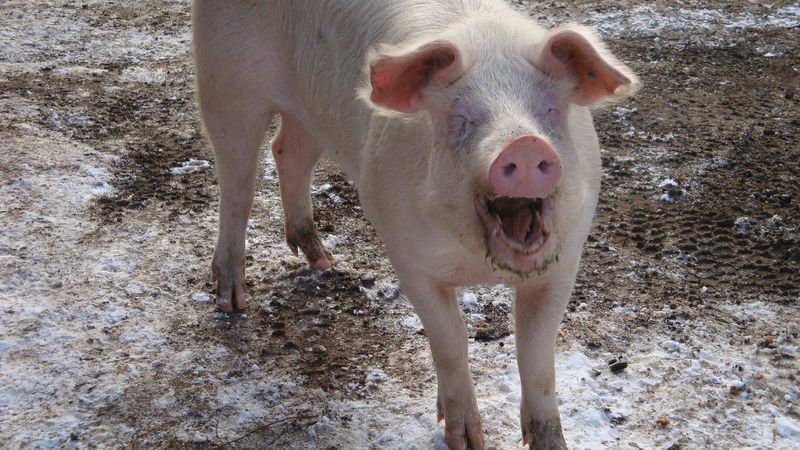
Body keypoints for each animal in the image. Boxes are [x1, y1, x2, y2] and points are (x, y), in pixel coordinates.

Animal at [193, 1, 639, 448]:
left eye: (549, 109)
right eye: (461, 117)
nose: (524, 145)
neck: (477, 264)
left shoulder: (565, 258)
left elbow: (536, 353)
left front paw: (551, 442)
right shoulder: (405, 252)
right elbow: (450, 338)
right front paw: (466, 440)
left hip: (311, 111)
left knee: (286, 150)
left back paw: (322, 261)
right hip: (225, 82)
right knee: (237, 185)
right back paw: (231, 300)